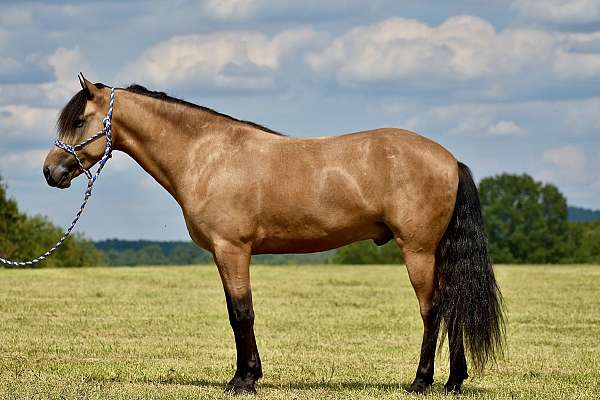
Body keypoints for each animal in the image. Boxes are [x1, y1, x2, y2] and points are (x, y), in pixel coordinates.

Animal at [42, 76, 504, 396]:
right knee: (453, 306)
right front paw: (247, 375)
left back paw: (421, 382)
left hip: (419, 251)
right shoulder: (226, 254)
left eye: (79, 120)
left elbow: (241, 313)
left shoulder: (232, 250)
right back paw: (453, 382)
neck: (207, 155)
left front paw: (243, 381)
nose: (50, 171)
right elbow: (237, 313)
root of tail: (449, 159)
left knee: (433, 310)